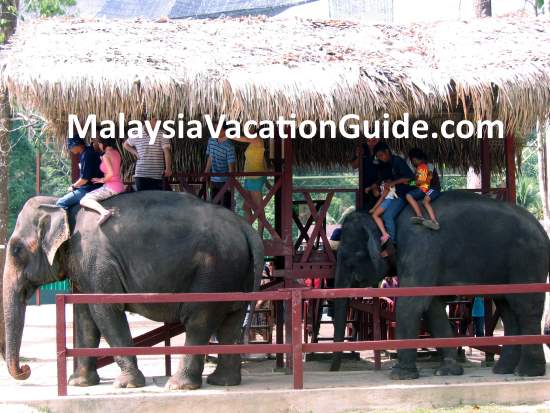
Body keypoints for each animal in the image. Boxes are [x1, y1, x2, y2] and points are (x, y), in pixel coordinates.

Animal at [2, 190, 266, 390]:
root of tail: (245, 227)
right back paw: (223, 382)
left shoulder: (96, 260)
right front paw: (79, 384)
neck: (63, 206)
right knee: (231, 320)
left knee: (199, 319)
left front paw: (126, 385)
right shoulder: (84, 266)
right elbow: (84, 316)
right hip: (235, 273)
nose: (25, 369)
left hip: (213, 271)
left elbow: (105, 310)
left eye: (16, 249)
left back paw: (179, 385)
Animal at [332, 192, 550, 378]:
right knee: (508, 308)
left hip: (527, 260)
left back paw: (527, 372)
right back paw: (503, 370)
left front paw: (400, 375)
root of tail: (542, 231)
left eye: (351, 256)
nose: (334, 370)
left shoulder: (420, 247)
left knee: (525, 307)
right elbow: (433, 307)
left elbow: (411, 302)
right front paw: (447, 371)